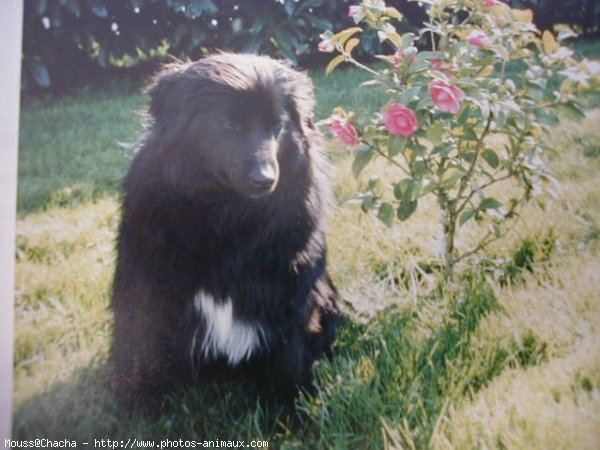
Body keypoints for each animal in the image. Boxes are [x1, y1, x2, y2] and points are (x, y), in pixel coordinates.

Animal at [109, 53, 338, 412]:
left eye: (277, 126)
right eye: (227, 124)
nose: (265, 179)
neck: (229, 212)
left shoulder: (291, 292)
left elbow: (289, 357)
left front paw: (289, 412)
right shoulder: (144, 286)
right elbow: (137, 350)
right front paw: (137, 411)